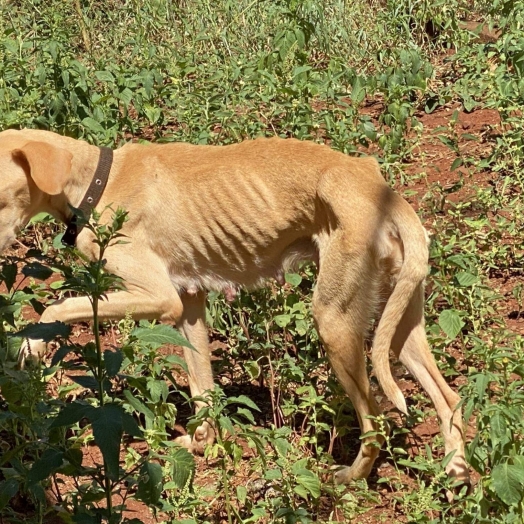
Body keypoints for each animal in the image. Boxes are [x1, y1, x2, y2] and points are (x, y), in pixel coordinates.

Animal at [0, 130, 468, 488]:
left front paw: (29, 348)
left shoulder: (161, 296)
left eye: (0, 199)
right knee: (449, 397)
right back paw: (457, 474)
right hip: (399, 323)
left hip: (335, 322)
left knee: (377, 422)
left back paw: (349, 478)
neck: (98, 181)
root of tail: (378, 187)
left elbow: (55, 310)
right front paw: (203, 443)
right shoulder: (187, 304)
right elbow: (201, 385)